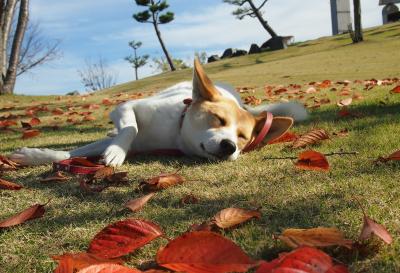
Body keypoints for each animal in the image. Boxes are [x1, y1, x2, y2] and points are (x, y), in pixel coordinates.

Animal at [11, 59, 306, 166]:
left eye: (243, 138)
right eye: (218, 119)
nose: (229, 146)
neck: (173, 134)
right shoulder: (126, 107)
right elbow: (130, 127)